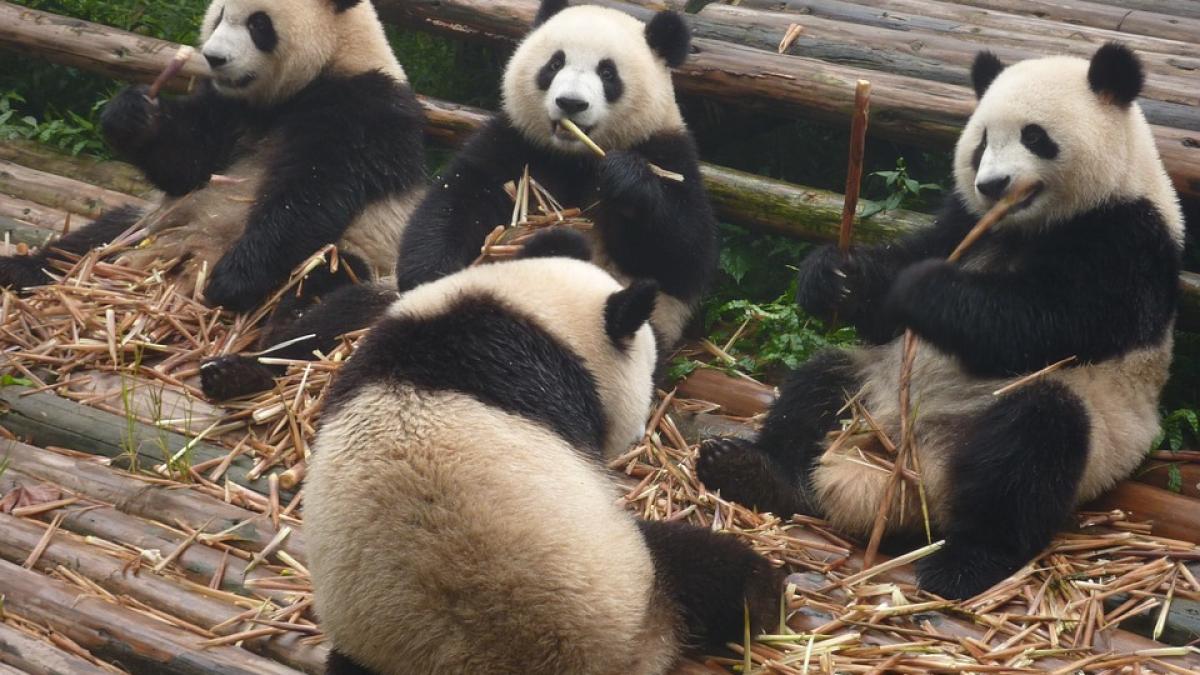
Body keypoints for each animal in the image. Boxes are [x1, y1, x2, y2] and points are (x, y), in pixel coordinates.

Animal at [0, 0, 426, 314]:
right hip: (148, 221)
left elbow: (312, 193)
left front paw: (232, 280)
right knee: (88, 240)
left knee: (324, 283)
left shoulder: (363, 110)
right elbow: (188, 164)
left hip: (363, 255)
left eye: (259, 24)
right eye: (220, 14)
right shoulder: (228, 107)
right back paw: (18, 270)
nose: (214, 58)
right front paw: (133, 115)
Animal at [695, 44, 1184, 600]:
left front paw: (922, 290)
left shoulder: (1127, 239)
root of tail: (906, 473)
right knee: (819, 383)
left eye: (1035, 136)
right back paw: (750, 470)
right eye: (982, 142)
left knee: (1031, 445)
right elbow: (903, 279)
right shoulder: (963, 219)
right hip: (872, 388)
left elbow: (1047, 321)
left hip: (1088, 433)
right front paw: (835, 277)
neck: (1024, 226)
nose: (992, 185)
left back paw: (964, 564)